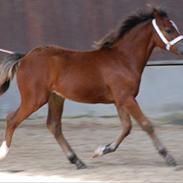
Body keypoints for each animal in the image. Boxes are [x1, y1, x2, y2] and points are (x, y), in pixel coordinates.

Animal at [0, 8, 183, 169]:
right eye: (168, 30)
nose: (182, 50)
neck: (123, 59)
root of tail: (24, 57)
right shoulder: (126, 98)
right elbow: (146, 124)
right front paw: (169, 157)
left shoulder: (119, 100)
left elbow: (126, 127)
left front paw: (101, 150)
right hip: (35, 98)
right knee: (12, 119)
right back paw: (3, 152)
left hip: (56, 97)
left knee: (54, 126)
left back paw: (77, 161)